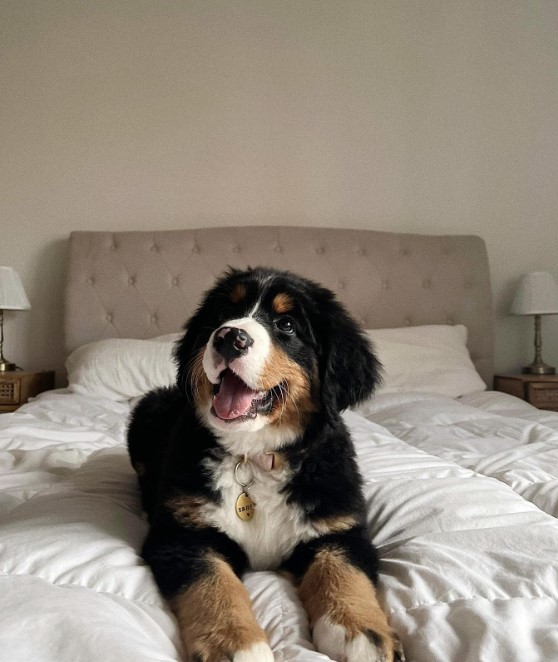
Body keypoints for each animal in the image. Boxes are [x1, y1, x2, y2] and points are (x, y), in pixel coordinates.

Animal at [129, 268, 404, 662]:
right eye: (223, 314)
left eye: (286, 324)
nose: (229, 336)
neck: (255, 455)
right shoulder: (182, 535)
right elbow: (214, 583)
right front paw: (234, 643)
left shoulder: (339, 527)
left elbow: (343, 570)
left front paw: (362, 632)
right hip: (146, 411)